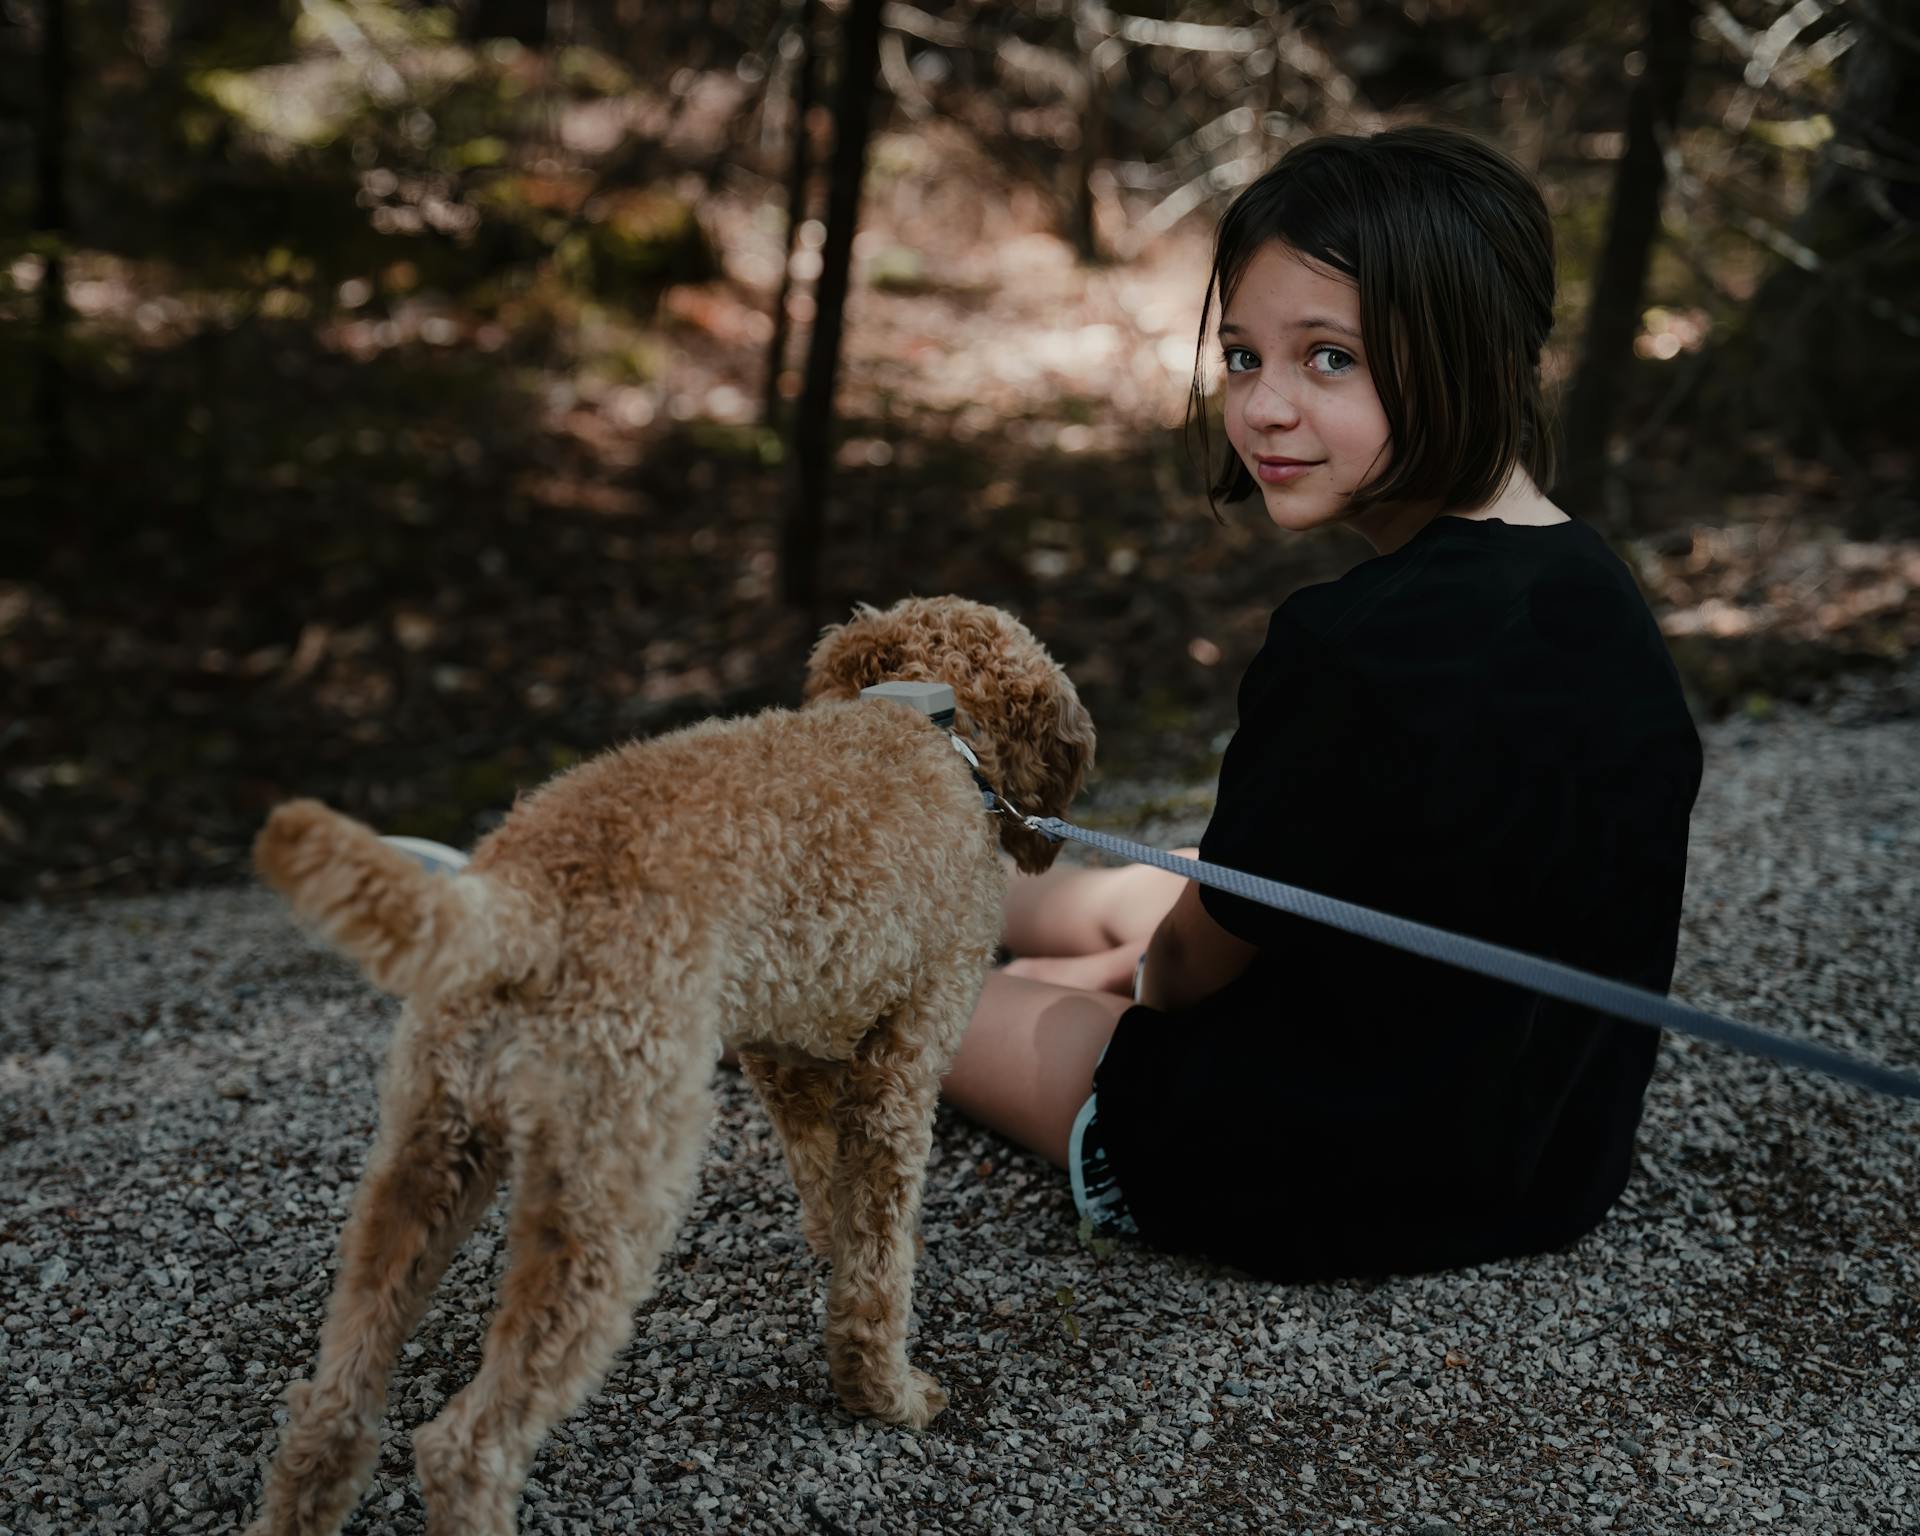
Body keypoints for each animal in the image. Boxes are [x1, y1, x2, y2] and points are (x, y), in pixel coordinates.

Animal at [240, 595, 1098, 1536]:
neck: (925, 722)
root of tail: (519, 901)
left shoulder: (785, 1053)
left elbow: (823, 1182)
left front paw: (830, 1250)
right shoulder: (903, 1067)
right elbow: (876, 1269)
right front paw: (887, 1393)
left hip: (425, 1155)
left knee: (330, 1416)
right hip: (610, 1188)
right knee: (467, 1447)